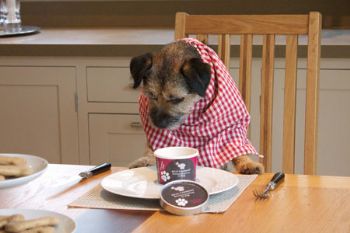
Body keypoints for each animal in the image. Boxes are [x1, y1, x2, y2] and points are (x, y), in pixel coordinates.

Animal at [128, 37, 262, 175]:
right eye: (151, 95)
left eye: (177, 99)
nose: (158, 124)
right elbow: (152, 146)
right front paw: (146, 160)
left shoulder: (230, 126)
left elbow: (235, 146)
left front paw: (248, 163)